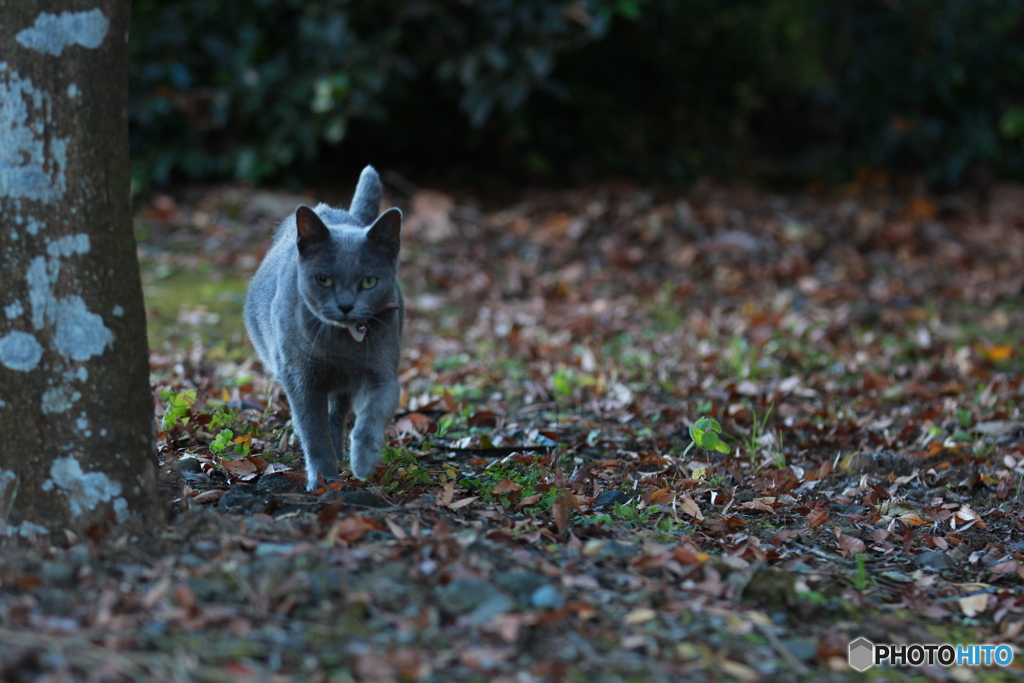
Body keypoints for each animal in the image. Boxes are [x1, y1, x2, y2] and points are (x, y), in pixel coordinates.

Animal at [244, 164, 403, 485]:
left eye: (369, 281)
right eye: (324, 279)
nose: (345, 305)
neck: (340, 345)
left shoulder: (381, 372)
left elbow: (373, 412)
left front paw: (363, 461)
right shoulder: (299, 376)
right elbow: (312, 430)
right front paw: (323, 479)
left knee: (337, 412)